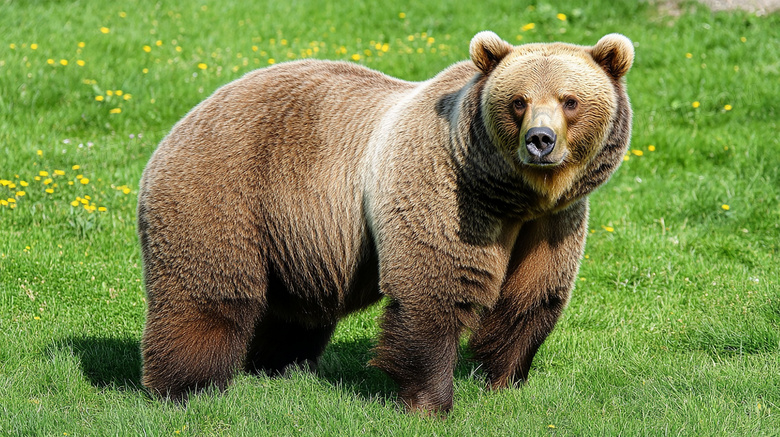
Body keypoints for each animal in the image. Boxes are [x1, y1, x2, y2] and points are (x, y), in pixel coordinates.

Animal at [136, 31, 632, 412]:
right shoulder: (448, 195)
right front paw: (429, 402)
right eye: (518, 101)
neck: (514, 196)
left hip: (295, 233)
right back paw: (188, 389)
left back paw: (278, 366)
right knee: (207, 295)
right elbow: (435, 288)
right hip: (228, 190)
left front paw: (505, 382)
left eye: (569, 101)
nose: (540, 140)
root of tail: (190, 114)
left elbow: (532, 298)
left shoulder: (554, 222)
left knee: (293, 311)